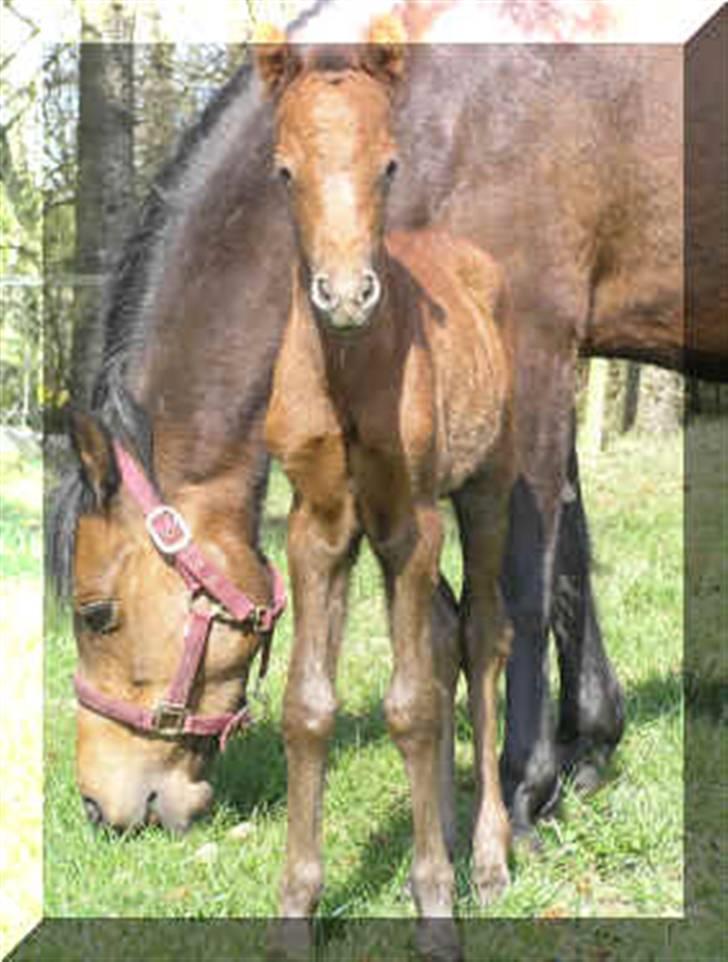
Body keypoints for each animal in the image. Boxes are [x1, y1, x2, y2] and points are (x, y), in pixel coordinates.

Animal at [259, 23, 515, 919]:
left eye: (389, 165)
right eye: (284, 170)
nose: (344, 297)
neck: (350, 372)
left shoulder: (413, 518)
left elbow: (411, 708)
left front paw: (437, 902)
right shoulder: (319, 522)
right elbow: (309, 708)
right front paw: (297, 908)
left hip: (488, 488)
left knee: (481, 636)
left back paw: (490, 855)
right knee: (438, 641)